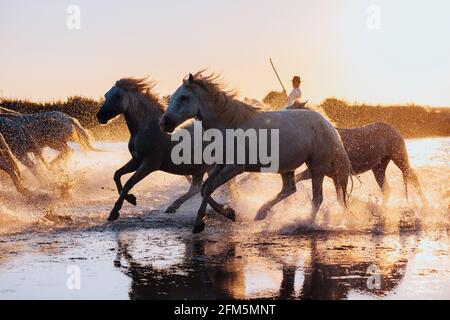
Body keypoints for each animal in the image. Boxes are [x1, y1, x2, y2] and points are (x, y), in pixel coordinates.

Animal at [97, 78, 237, 222]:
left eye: (117, 96)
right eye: (106, 95)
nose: (100, 116)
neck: (149, 128)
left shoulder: (149, 164)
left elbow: (129, 183)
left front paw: (114, 212)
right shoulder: (136, 160)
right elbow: (117, 175)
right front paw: (131, 199)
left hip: (208, 168)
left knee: (204, 188)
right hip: (199, 169)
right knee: (197, 188)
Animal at [160, 72, 354, 232]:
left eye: (184, 97)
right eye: (172, 98)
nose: (164, 123)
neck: (230, 125)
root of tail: (329, 126)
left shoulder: (234, 168)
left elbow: (208, 189)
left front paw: (200, 223)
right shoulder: (220, 165)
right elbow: (205, 188)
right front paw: (228, 213)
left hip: (317, 167)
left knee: (317, 198)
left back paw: (307, 224)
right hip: (287, 167)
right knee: (289, 189)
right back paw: (261, 213)